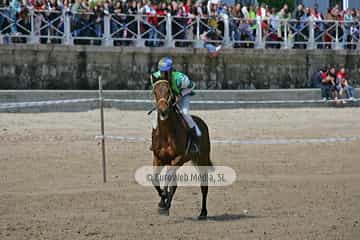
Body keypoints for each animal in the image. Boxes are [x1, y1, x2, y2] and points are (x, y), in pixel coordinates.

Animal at [150, 79, 212, 219]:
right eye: (155, 92)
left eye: (169, 91)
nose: (163, 111)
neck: (166, 133)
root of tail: (202, 123)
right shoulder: (158, 158)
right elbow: (155, 179)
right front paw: (162, 201)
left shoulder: (177, 158)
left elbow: (167, 179)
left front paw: (164, 200)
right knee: (174, 184)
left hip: (202, 159)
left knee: (204, 185)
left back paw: (203, 212)